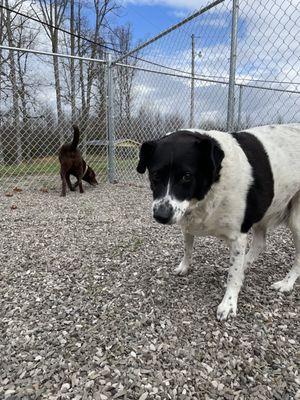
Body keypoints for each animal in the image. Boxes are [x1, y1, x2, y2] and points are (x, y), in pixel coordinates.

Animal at [137, 123, 300, 320]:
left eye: (186, 176)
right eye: (155, 175)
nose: (161, 216)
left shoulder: (238, 236)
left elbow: (233, 275)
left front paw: (229, 303)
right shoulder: (187, 223)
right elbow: (188, 249)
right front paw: (184, 266)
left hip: (296, 221)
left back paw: (286, 283)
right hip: (262, 210)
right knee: (260, 244)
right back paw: (246, 265)